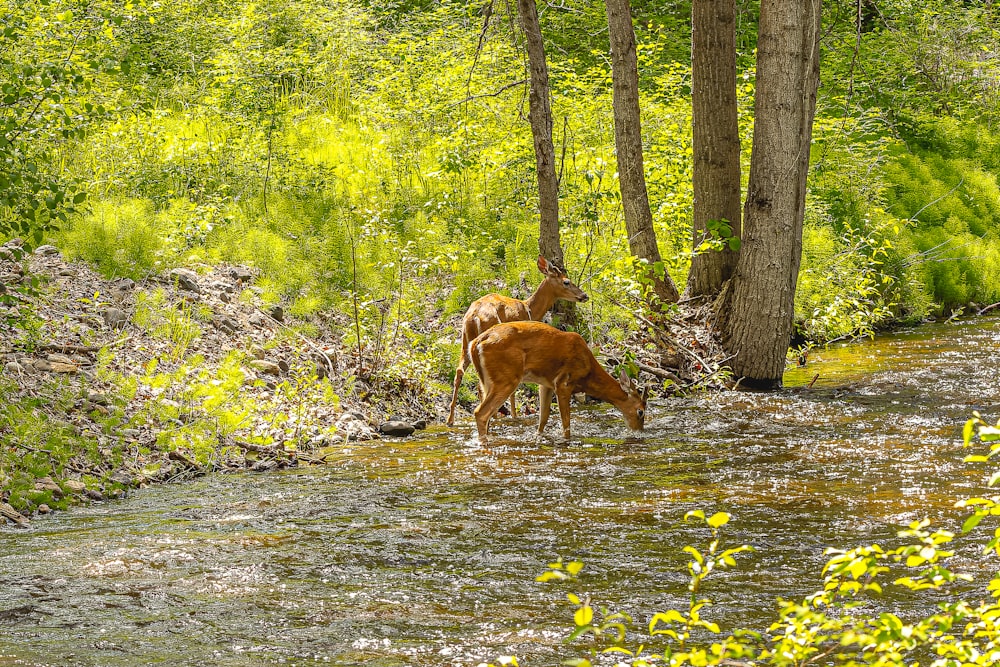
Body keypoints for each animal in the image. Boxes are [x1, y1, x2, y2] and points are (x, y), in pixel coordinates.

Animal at [446, 256, 584, 428]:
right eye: (566, 282)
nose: (584, 295)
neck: (529, 308)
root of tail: (475, 316)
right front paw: (514, 415)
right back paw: (492, 417)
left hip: (465, 339)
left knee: (459, 372)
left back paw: (450, 419)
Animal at [468, 322, 648, 446]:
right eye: (640, 411)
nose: (639, 432)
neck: (588, 373)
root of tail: (475, 343)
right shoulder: (564, 383)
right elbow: (566, 423)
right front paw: (566, 441)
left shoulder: (546, 384)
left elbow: (543, 418)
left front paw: (538, 438)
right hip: (506, 378)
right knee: (480, 412)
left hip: (486, 381)